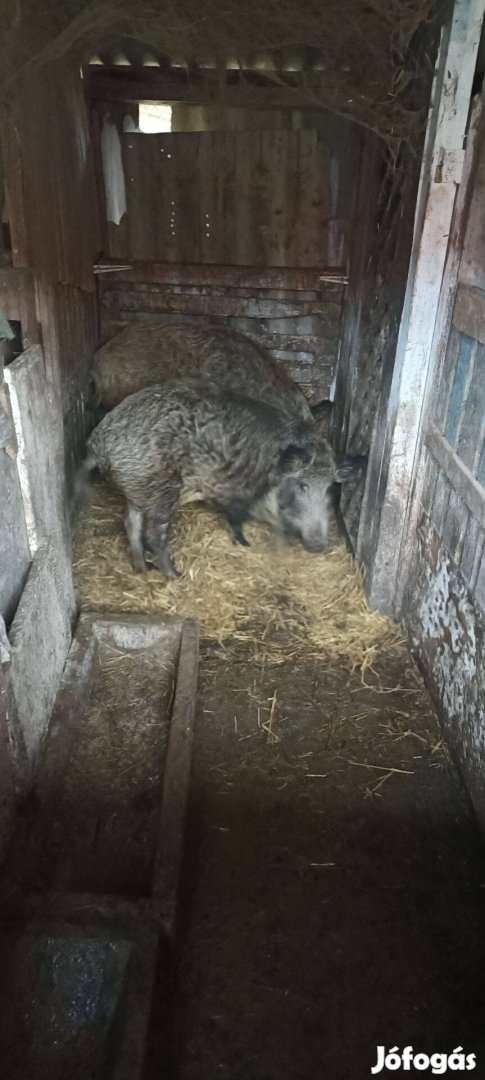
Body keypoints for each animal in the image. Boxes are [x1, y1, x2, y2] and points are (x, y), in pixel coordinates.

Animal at [85, 382, 315, 583]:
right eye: (299, 487)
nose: (304, 543)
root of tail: (98, 445)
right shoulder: (237, 489)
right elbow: (236, 517)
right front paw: (244, 543)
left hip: (139, 488)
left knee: (131, 524)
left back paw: (142, 568)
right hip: (160, 488)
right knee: (153, 535)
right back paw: (175, 574)